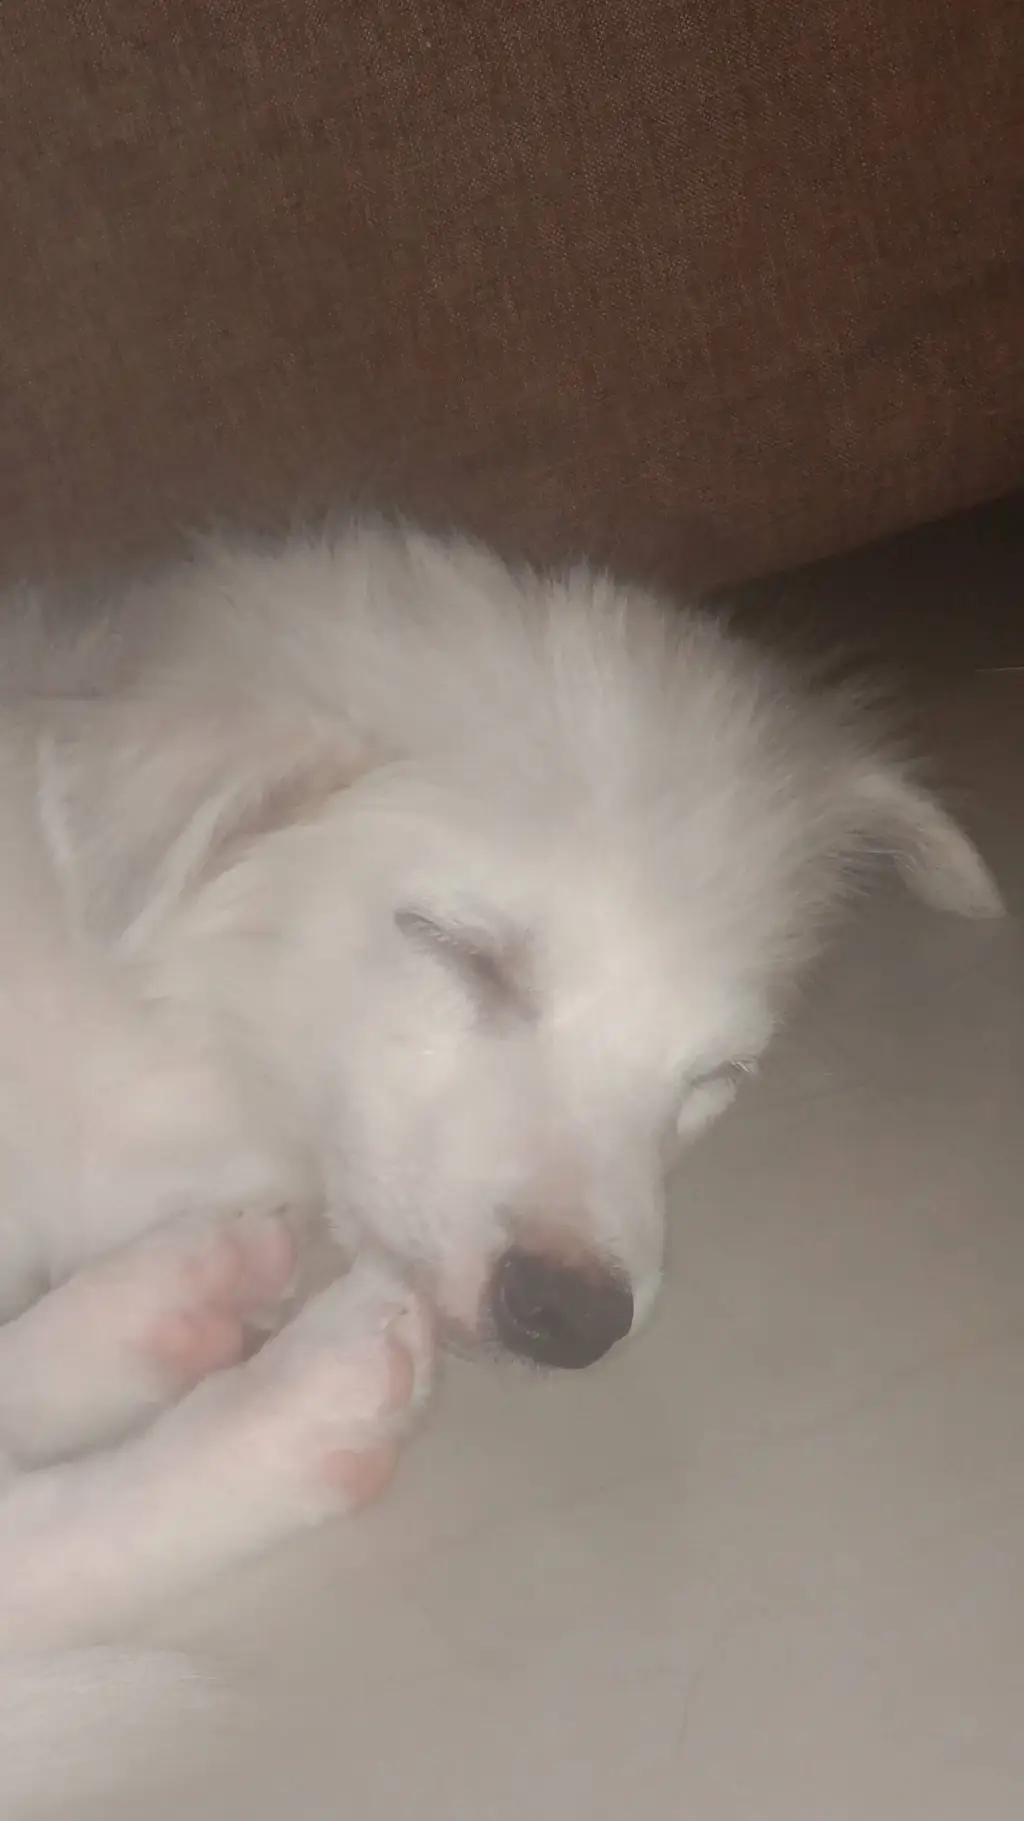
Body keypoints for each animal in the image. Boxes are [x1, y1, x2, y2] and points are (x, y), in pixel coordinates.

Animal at [0, 523, 1002, 1807]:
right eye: (459, 952)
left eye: (717, 1074)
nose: (569, 1318)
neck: (159, 1027)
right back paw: (283, 1411)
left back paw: (165, 1301)